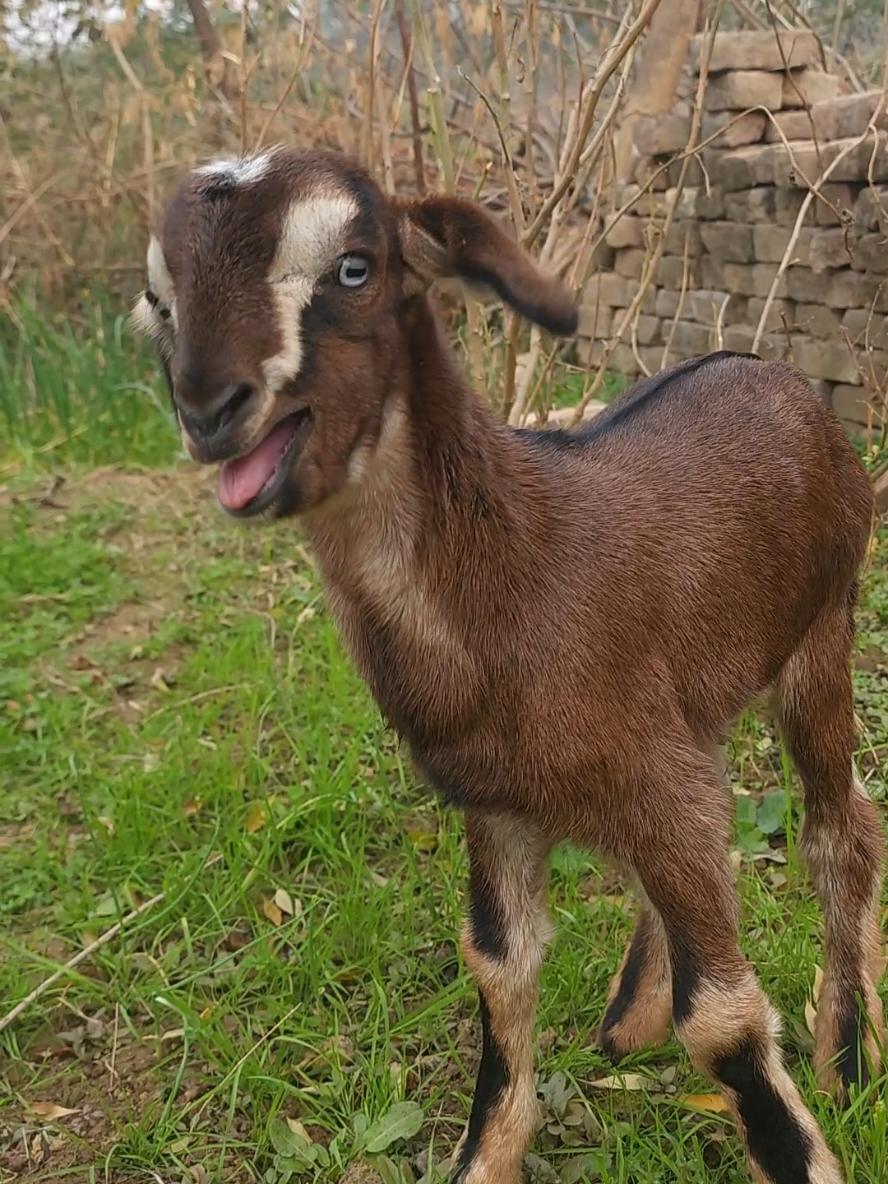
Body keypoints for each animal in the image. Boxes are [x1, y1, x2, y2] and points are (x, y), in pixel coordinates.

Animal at [133, 148, 888, 1184]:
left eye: (354, 268)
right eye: (161, 301)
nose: (210, 410)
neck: (519, 567)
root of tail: (773, 369)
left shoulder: (654, 779)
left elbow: (724, 1020)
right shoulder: (497, 808)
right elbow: (499, 968)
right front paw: (484, 1158)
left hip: (821, 634)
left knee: (838, 831)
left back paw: (846, 1056)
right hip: (702, 705)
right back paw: (632, 1015)